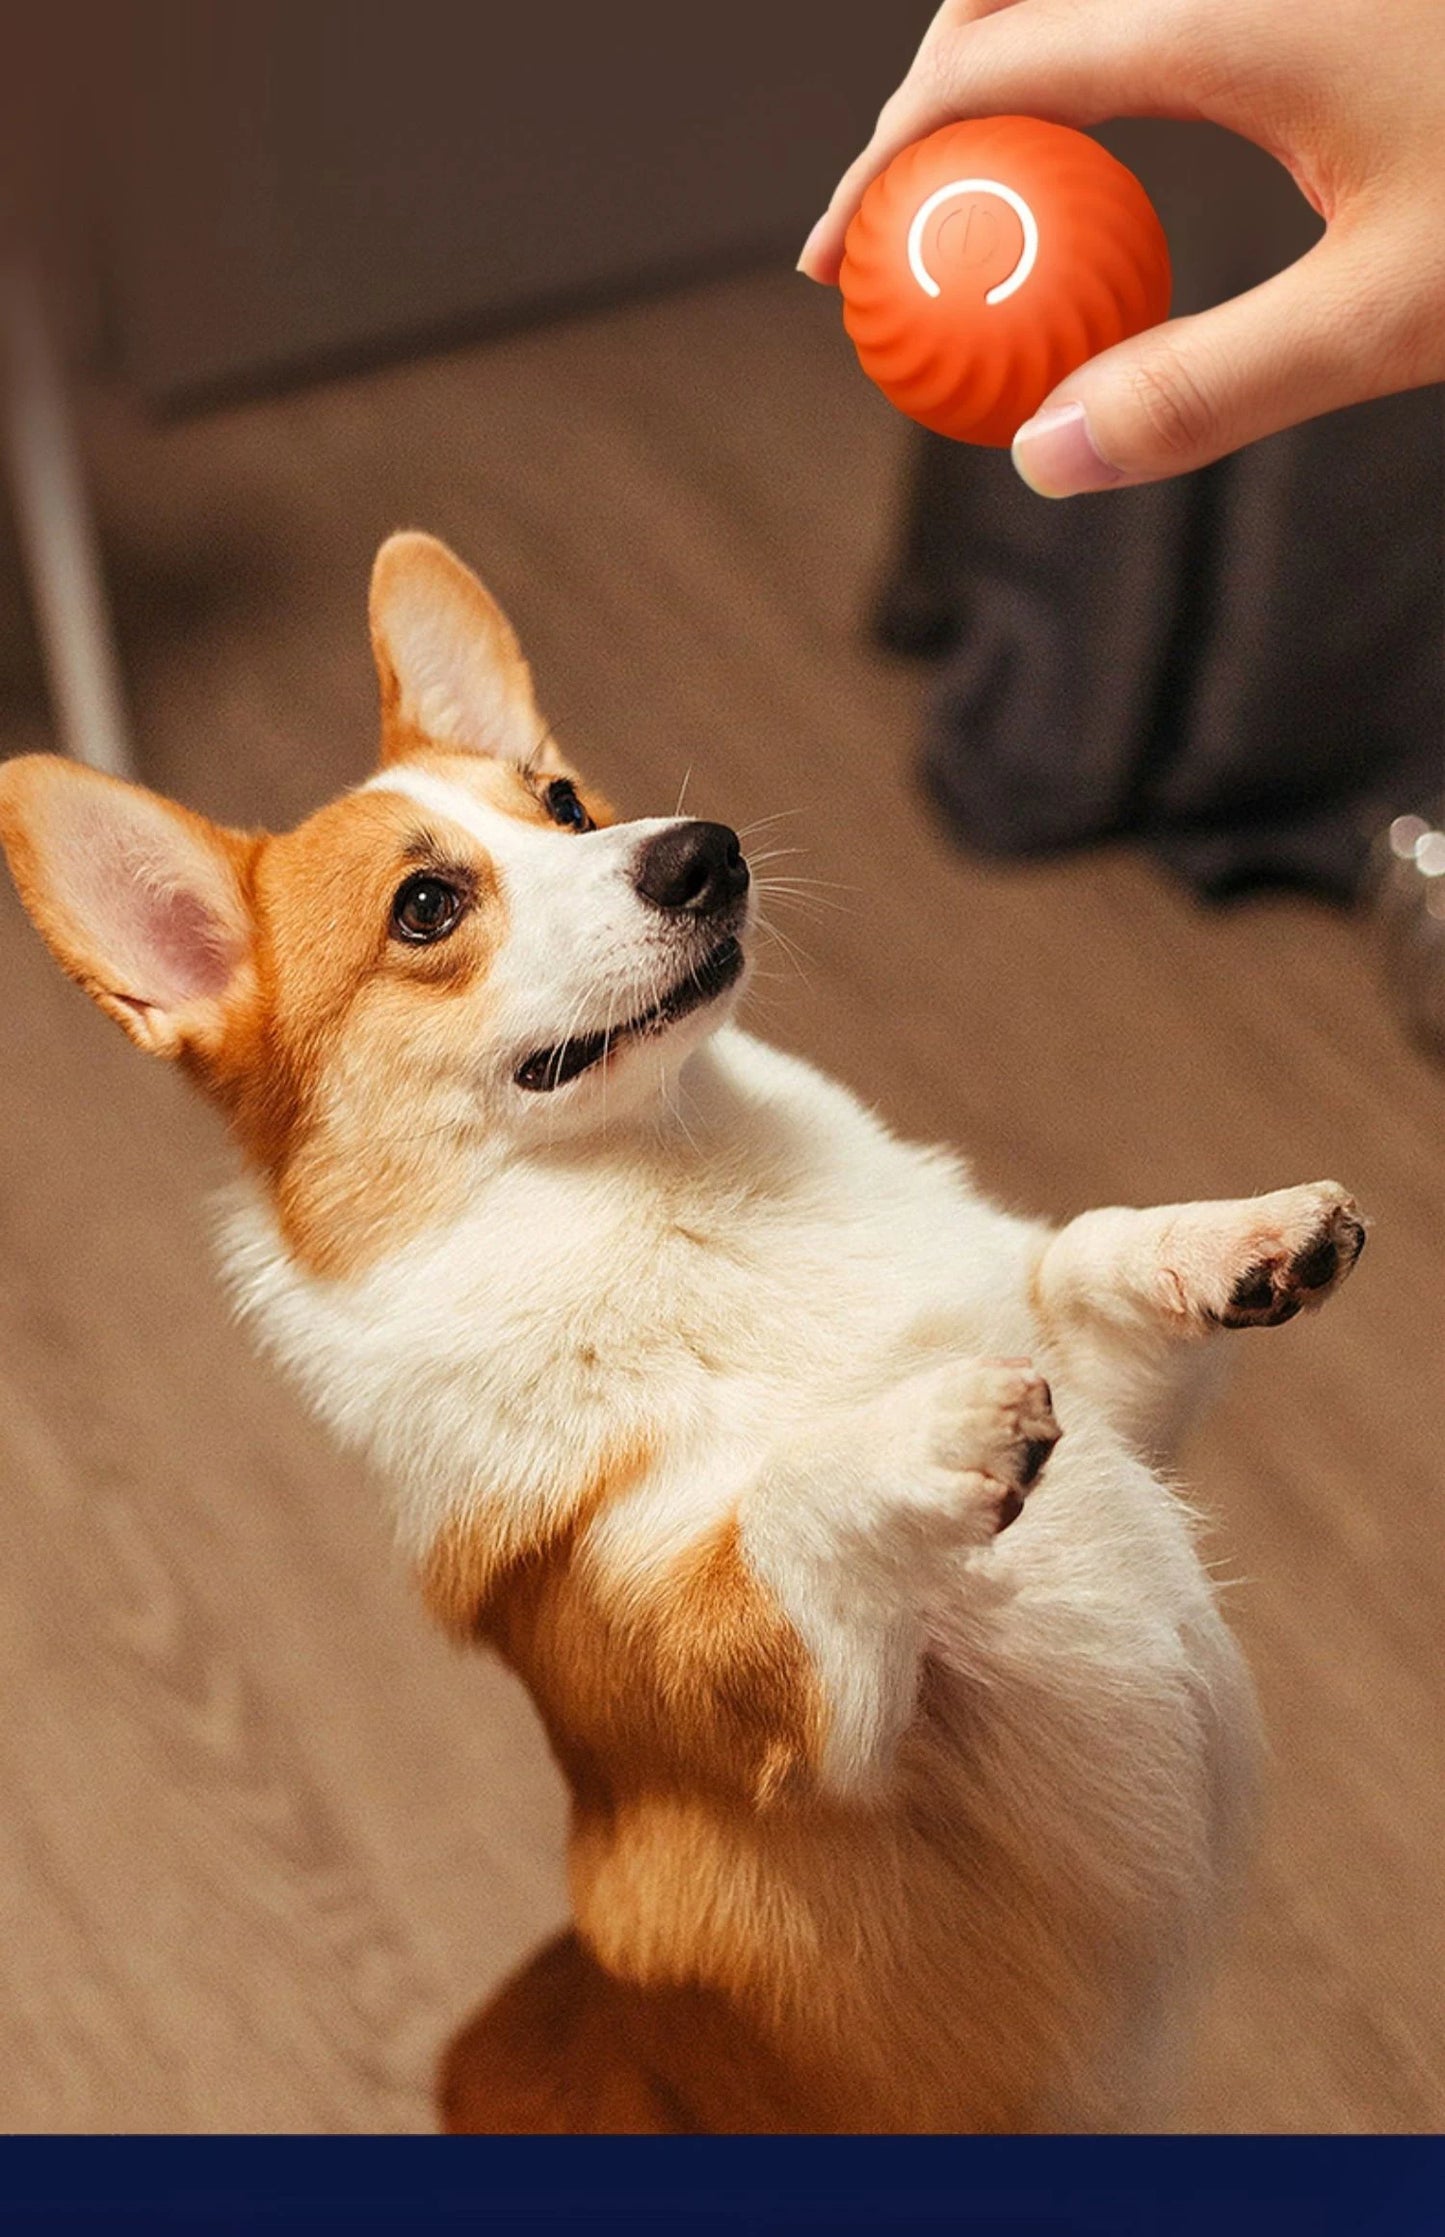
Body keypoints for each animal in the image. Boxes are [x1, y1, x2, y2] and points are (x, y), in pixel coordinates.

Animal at [0, 527, 1368, 2129]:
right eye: (427, 907)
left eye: (567, 803)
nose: (700, 846)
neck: (683, 1192)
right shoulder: (815, 1715)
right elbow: (786, 1503)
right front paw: (921, 1424)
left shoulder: (1117, 1416)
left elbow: (1084, 1261)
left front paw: (1243, 1237)